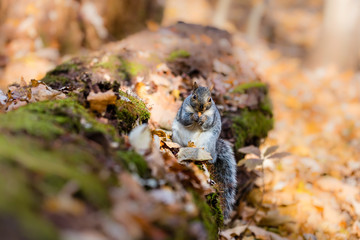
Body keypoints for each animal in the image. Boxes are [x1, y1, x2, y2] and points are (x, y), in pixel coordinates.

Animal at [172, 82, 238, 219]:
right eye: (194, 96)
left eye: (210, 99)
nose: (202, 108)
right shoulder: (184, 110)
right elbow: (185, 118)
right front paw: (194, 116)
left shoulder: (212, 115)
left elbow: (208, 122)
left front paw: (202, 120)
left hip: (207, 144)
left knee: (210, 159)